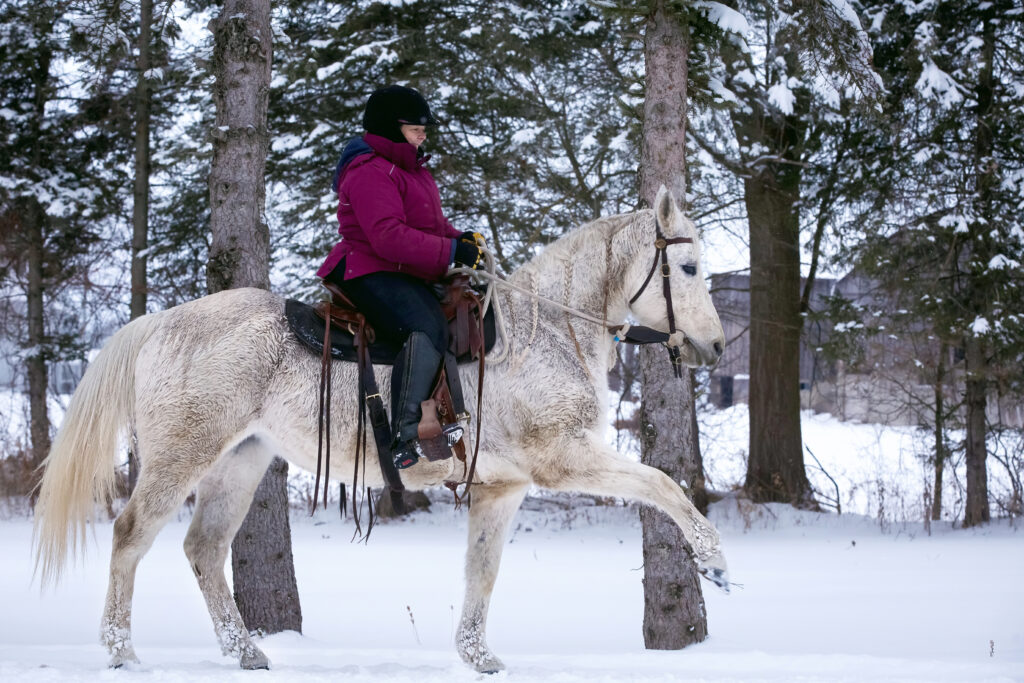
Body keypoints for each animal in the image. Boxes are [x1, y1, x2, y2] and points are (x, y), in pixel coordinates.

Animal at [33, 186, 729, 673]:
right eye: (690, 268)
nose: (717, 347)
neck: (548, 332)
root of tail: (162, 323)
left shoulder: (501, 488)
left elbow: (482, 571)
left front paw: (479, 657)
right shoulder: (566, 459)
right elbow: (663, 485)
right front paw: (714, 562)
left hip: (240, 461)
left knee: (203, 548)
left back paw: (246, 652)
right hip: (181, 457)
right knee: (130, 536)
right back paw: (121, 651)